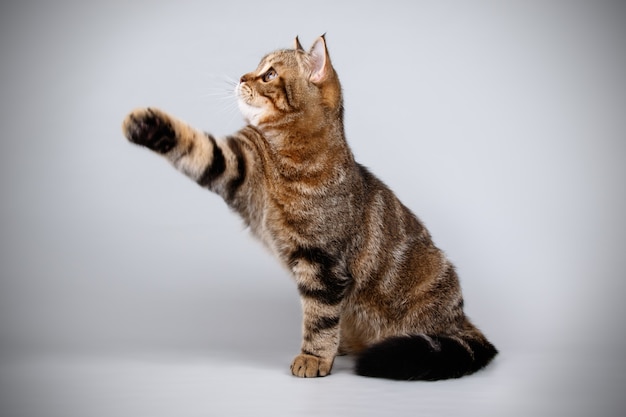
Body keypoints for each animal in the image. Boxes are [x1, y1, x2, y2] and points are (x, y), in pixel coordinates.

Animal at [122, 36, 498, 380]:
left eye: (269, 74)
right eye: (258, 69)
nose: (243, 77)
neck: (288, 155)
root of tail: (462, 319)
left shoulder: (323, 263)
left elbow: (319, 318)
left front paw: (314, 357)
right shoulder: (238, 162)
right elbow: (200, 148)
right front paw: (147, 124)